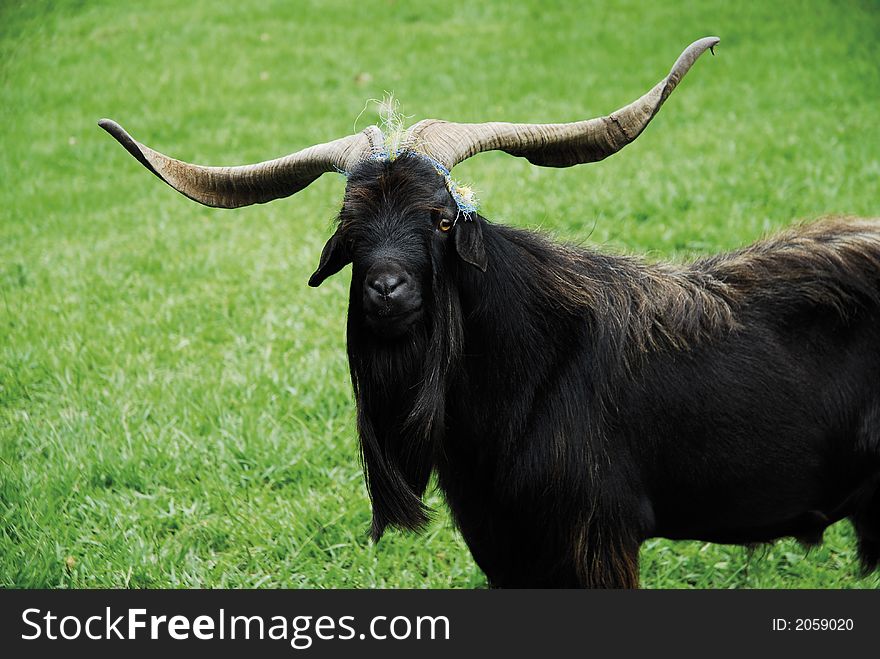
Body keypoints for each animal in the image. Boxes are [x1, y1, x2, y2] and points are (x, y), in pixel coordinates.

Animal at [99, 38, 876, 588]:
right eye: (350, 227)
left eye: (441, 220)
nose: (386, 291)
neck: (538, 370)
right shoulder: (505, 544)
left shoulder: (595, 541)